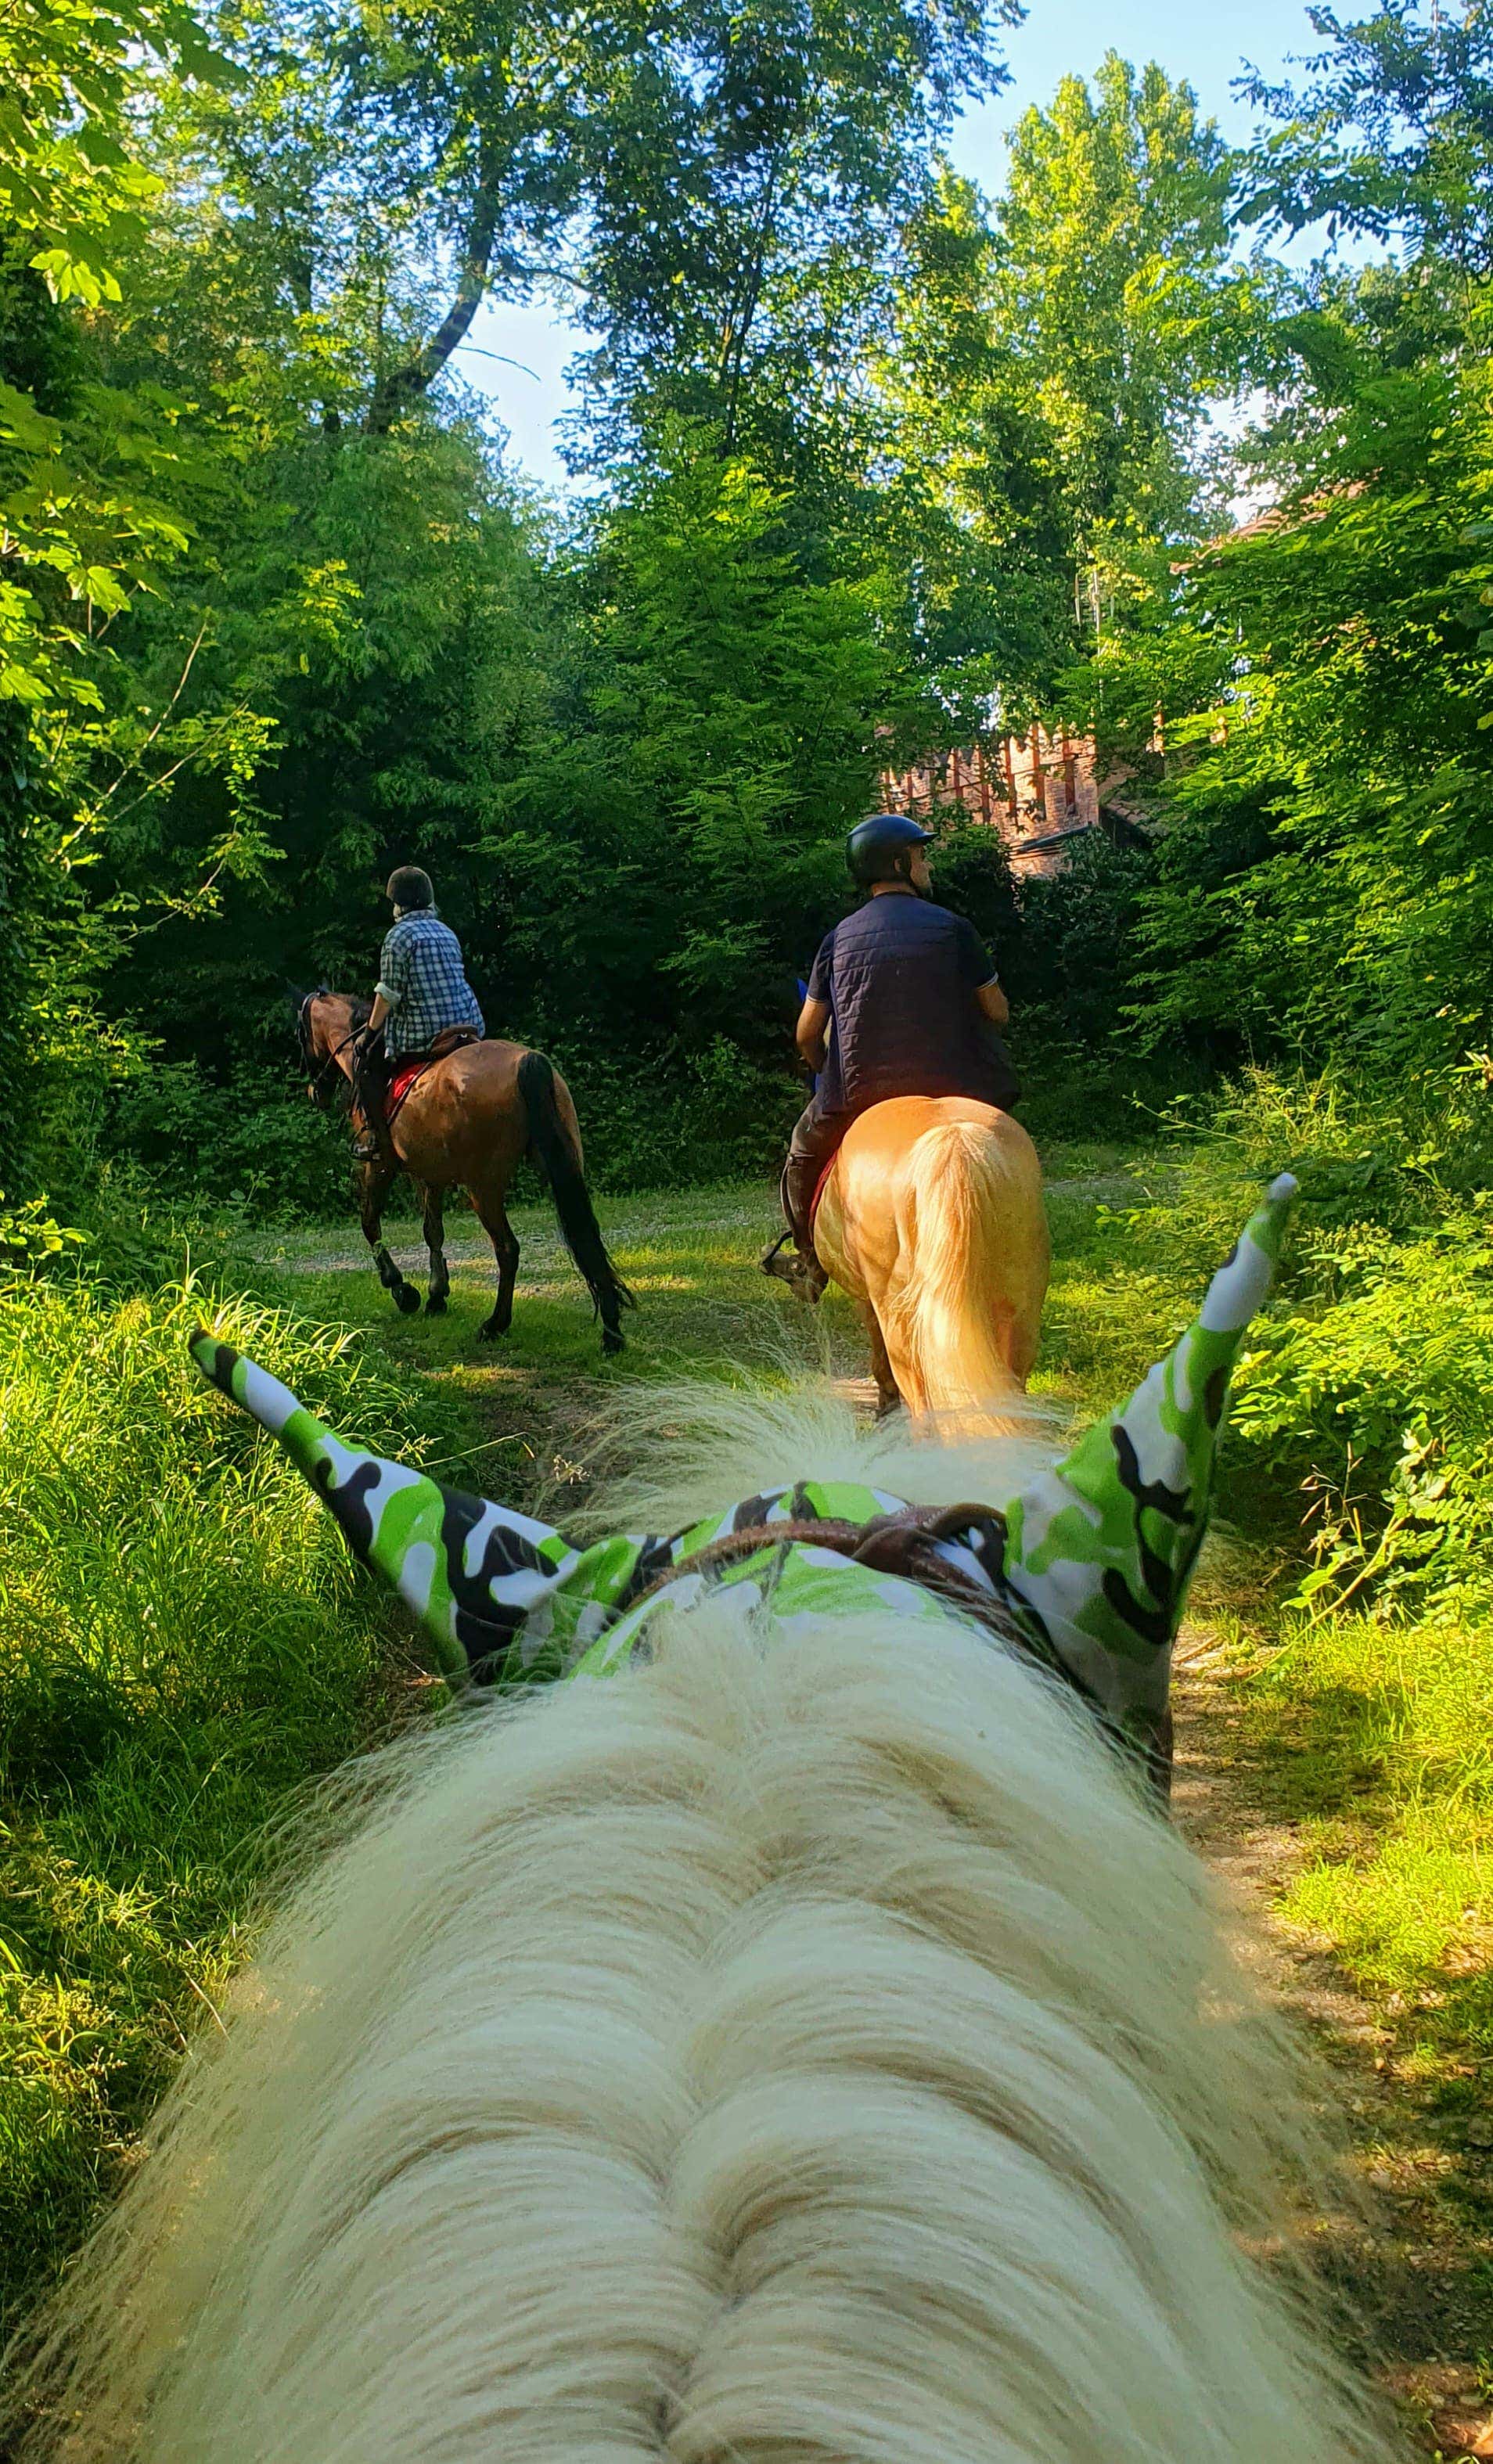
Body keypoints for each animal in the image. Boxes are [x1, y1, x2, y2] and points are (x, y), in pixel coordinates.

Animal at [297, 988, 632, 1354]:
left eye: (301, 1034)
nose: (315, 1092)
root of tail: (528, 1062)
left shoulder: (379, 1165)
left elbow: (370, 1224)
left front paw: (403, 1291)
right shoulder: (429, 1175)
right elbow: (433, 1231)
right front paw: (436, 1295)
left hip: (483, 1188)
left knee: (507, 1249)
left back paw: (496, 1324)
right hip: (565, 1168)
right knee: (586, 1237)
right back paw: (612, 1330)